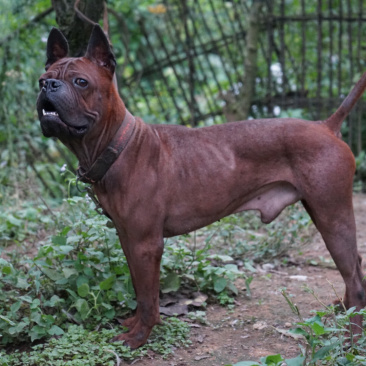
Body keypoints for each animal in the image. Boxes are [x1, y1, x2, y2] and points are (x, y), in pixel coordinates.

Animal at [36, 25, 366, 348]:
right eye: (42, 79)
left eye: (80, 82)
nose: (48, 86)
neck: (118, 144)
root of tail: (326, 126)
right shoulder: (127, 237)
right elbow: (139, 289)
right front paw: (135, 324)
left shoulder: (146, 244)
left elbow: (148, 297)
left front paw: (139, 337)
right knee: (356, 272)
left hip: (332, 217)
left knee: (355, 279)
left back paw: (351, 337)